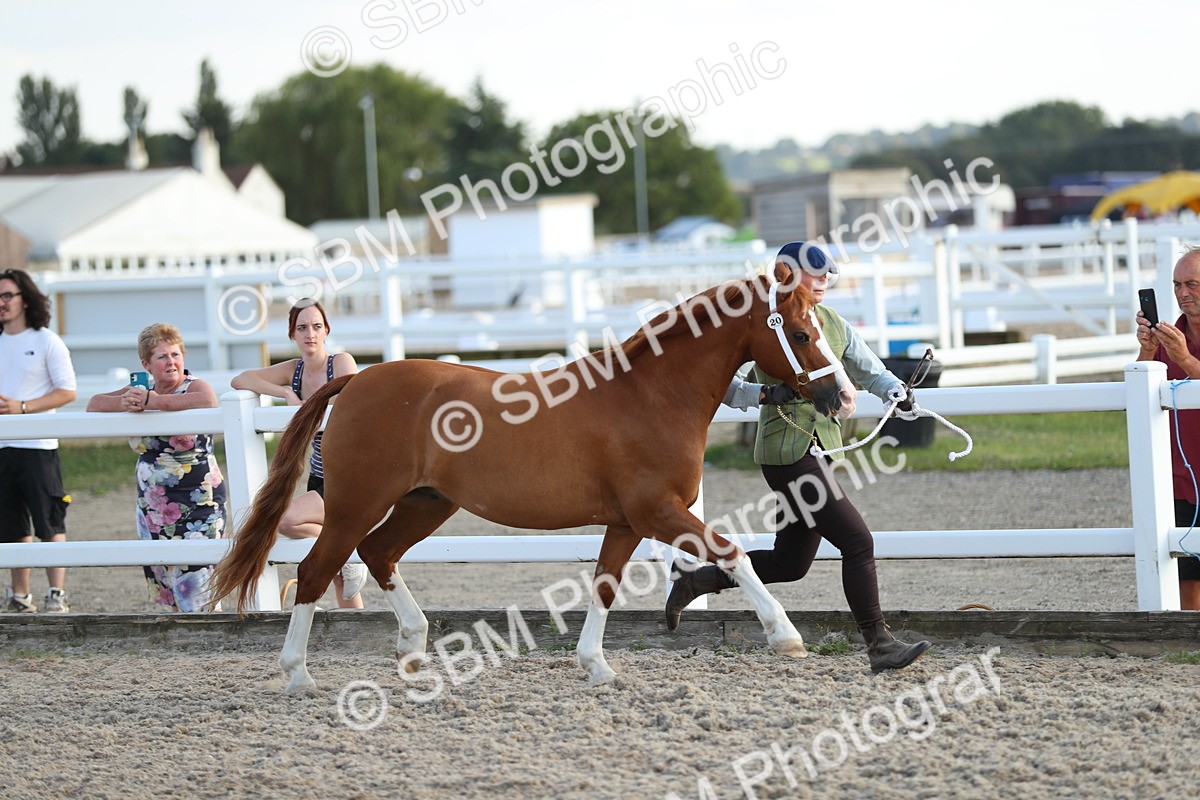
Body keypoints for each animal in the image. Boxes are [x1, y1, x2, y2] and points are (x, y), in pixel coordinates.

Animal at [210, 264, 851, 691]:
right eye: (800, 333)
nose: (841, 396)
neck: (650, 394)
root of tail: (357, 379)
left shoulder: (627, 522)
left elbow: (604, 585)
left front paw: (597, 665)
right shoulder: (658, 512)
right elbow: (733, 553)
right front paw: (785, 636)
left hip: (426, 503)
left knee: (378, 553)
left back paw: (413, 648)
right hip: (354, 504)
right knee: (317, 571)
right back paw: (298, 674)